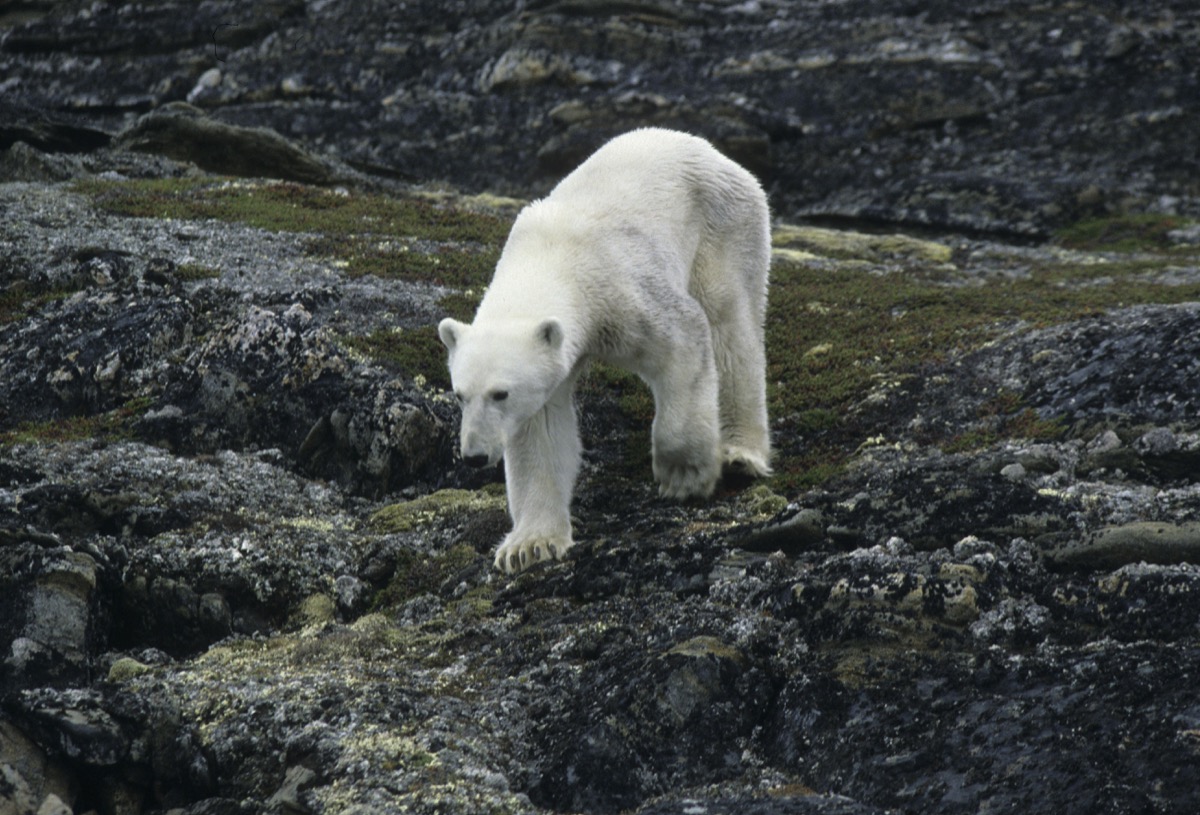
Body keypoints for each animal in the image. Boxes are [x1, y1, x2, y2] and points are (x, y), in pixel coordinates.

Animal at [439, 127, 768, 573]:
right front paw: (529, 546)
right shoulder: (550, 367)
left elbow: (685, 341)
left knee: (729, 326)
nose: (474, 455)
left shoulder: (622, 290)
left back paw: (739, 454)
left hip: (725, 226)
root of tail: (709, 149)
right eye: (459, 395)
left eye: (500, 393)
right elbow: (542, 433)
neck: (552, 257)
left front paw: (684, 474)